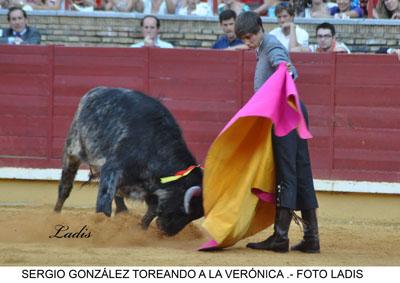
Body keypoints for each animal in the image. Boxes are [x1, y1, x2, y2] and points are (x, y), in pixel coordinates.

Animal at [54, 87, 203, 236]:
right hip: (72, 150)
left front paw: (140, 229)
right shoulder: (111, 170)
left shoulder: (151, 188)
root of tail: (94, 91)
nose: (167, 231)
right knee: (65, 187)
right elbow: (104, 205)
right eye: (184, 209)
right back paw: (55, 215)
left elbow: (151, 211)